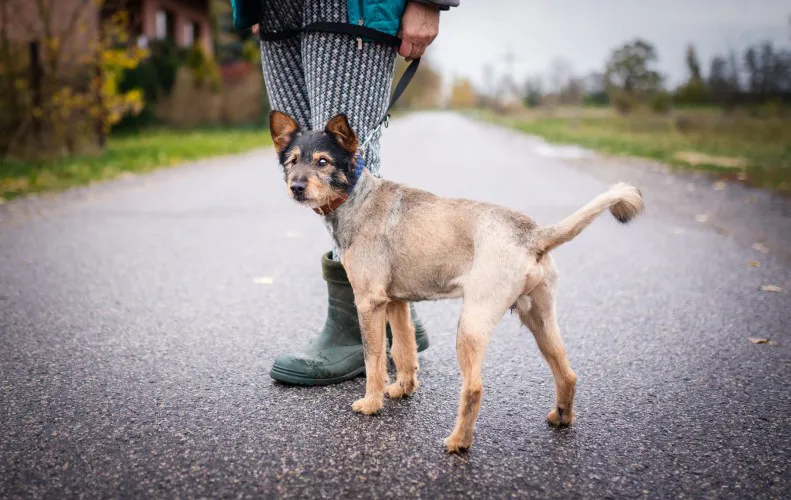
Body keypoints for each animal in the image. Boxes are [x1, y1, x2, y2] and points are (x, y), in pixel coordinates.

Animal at [270, 111, 648, 456]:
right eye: (292, 161)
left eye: (323, 161)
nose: (296, 187)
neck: (358, 196)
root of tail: (532, 235)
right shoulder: (396, 303)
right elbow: (404, 348)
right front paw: (403, 388)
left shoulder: (369, 302)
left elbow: (374, 358)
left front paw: (372, 402)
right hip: (540, 319)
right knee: (567, 374)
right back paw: (562, 417)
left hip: (471, 325)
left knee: (474, 388)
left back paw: (458, 442)